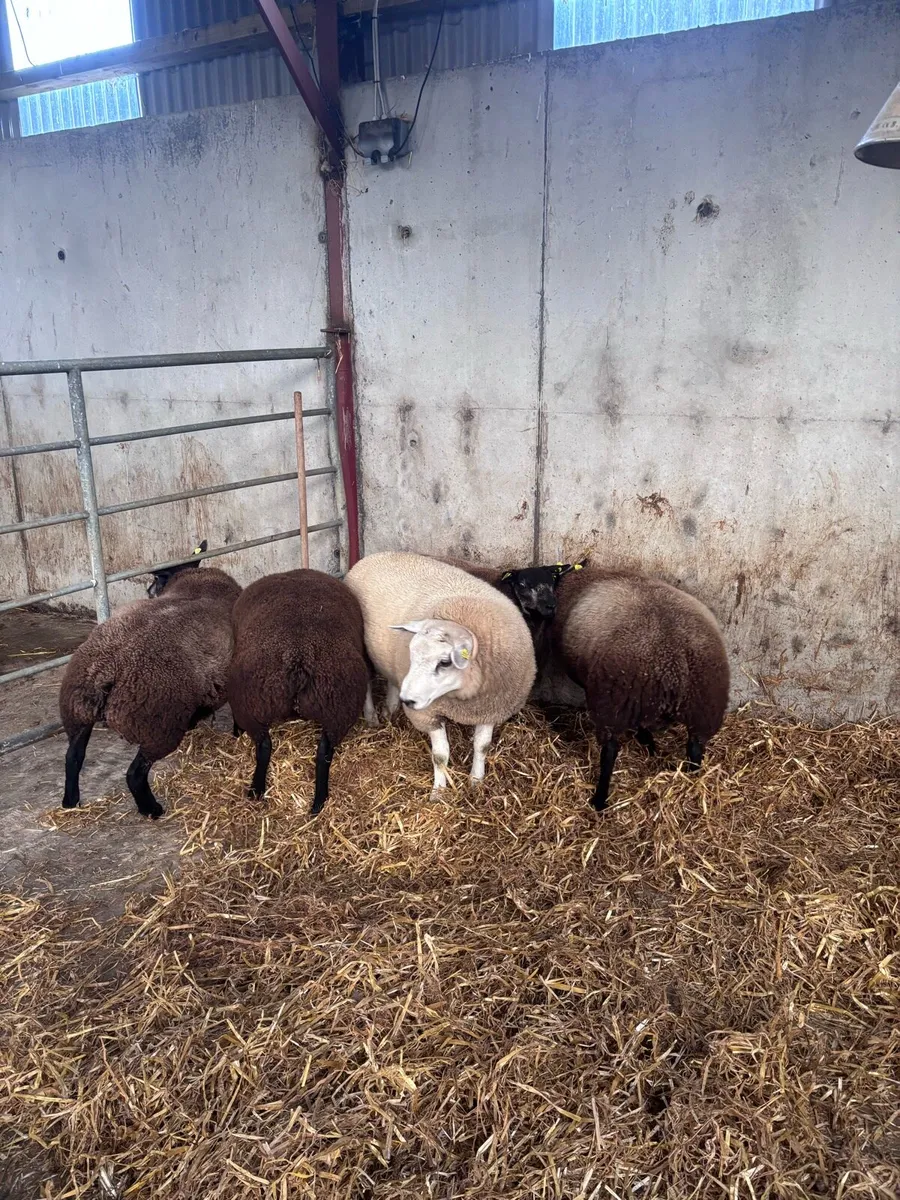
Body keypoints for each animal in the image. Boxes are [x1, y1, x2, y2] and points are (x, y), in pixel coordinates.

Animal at [60, 545, 241, 818]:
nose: (148, 591)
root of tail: (106, 667)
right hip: (157, 724)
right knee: (134, 774)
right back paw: (152, 809)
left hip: (76, 714)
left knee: (73, 758)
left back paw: (70, 802)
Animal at [226, 569, 369, 814]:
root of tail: (299, 656)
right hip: (339, 709)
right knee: (324, 753)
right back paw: (318, 801)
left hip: (250, 704)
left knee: (265, 746)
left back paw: (257, 790)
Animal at [345, 551, 536, 791]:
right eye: (412, 653)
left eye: (445, 662)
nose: (408, 700)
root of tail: (373, 555)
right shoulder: (428, 714)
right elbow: (440, 756)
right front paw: (439, 790)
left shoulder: (492, 707)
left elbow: (482, 746)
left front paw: (476, 781)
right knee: (367, 684)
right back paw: (372, 716)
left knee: (392, 679)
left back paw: (391, 707)